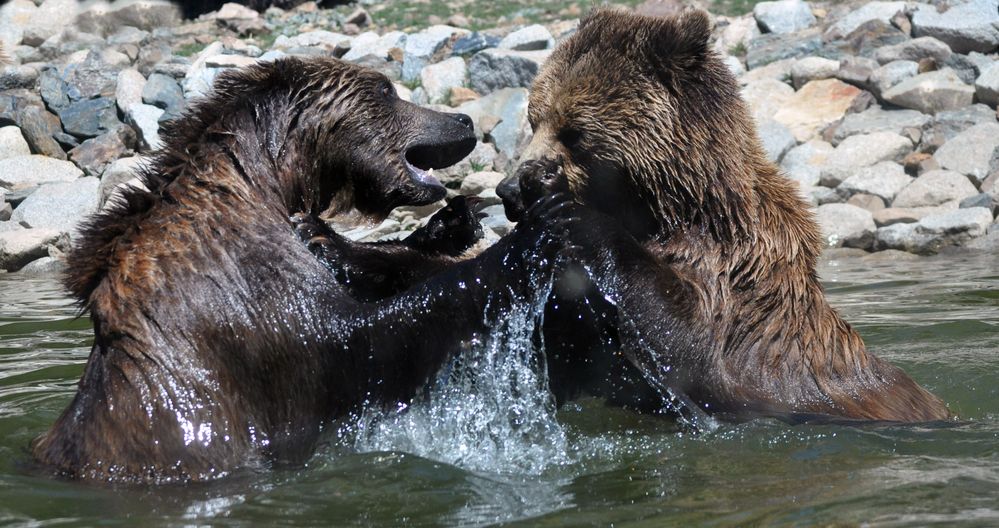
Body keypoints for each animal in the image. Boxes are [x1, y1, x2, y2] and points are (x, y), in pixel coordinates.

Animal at [33, 54, 572, 482]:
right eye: (385, 89)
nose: (462, 120)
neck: (262, 184)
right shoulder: (244, 293)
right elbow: (363, 338)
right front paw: (534, 231)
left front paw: (450, 223)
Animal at [500, 8, 952, 422]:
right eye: (534, 119)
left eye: (574, 130)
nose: (512, 188)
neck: (673, 207)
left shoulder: (736, 266)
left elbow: (688, 338)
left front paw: (573, 215)